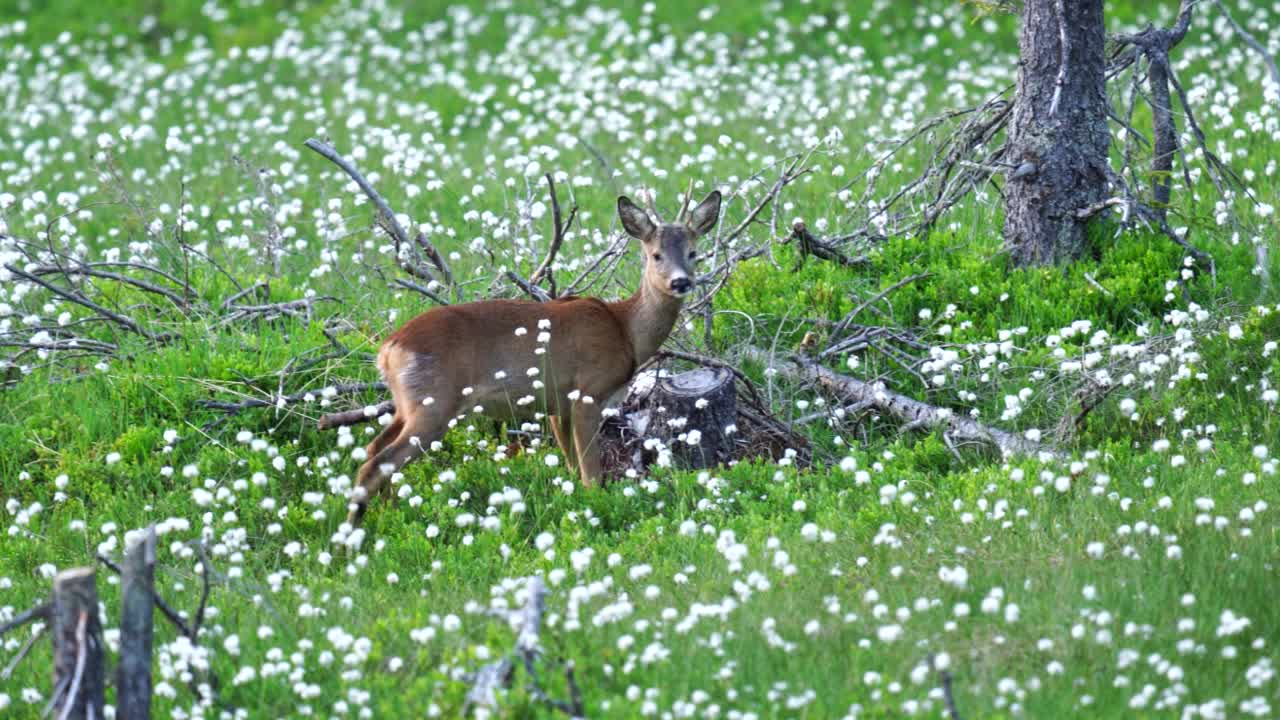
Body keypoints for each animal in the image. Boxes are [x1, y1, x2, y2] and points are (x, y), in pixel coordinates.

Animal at [348, 188, 721, 525]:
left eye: (693, 252)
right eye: (656, 255)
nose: (680, 282)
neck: (625, 330)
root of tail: (388, 349)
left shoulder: (558, 403)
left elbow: (571, 465)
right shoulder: (587, 391)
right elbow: (590, 474)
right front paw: (594, 506)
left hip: (407, 403)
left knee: (375, 450)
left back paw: (389, 513)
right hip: (434, 403)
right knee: (375, 463)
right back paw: (354, 537)